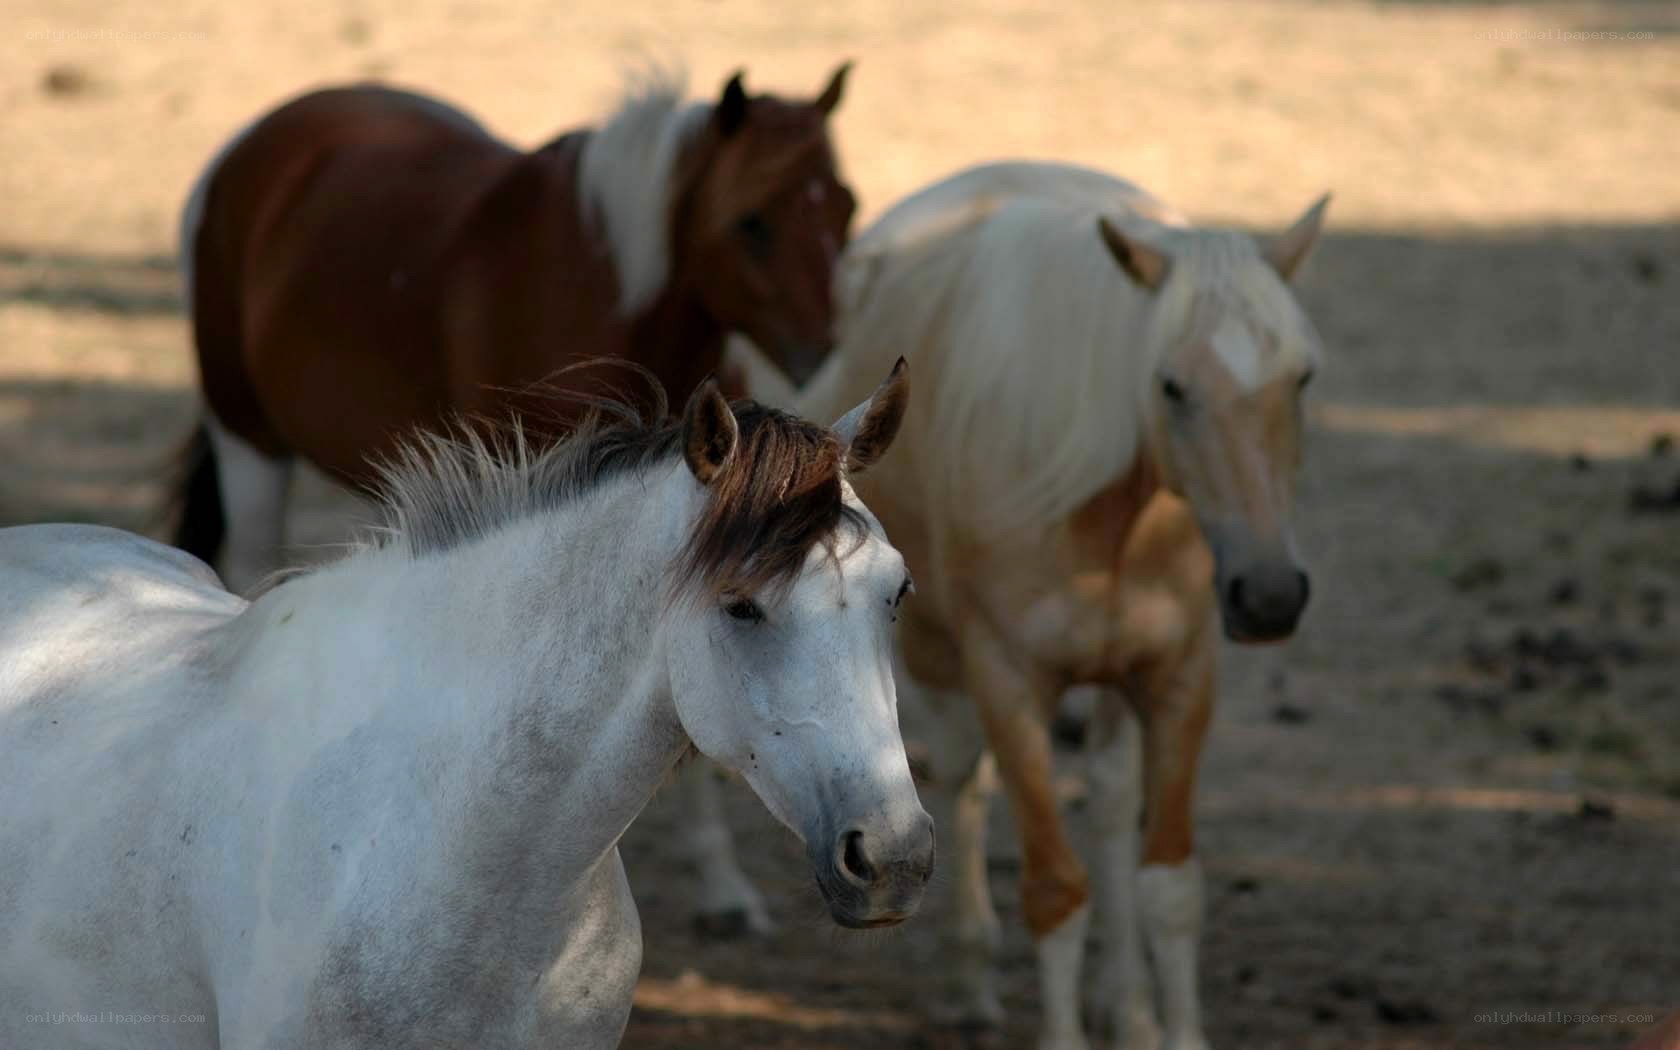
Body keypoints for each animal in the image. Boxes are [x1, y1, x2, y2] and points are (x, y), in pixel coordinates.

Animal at [174, 64, 856, 593]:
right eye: (752, 222)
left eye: (847, 207)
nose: (822, 349)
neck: (609, 293)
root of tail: (245, 152)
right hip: (247, 440)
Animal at [707, 160, 1330, 1049]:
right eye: (1171, 386)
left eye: (1302, 378)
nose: (1271, 594)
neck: (1105, 513)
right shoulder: (1008, 681)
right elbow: (1053, 889)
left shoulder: (1178, 677)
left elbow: (1170, 886)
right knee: (962, 773)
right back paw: (974, 975)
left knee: (1107, 801)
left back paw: (1127, 1005)